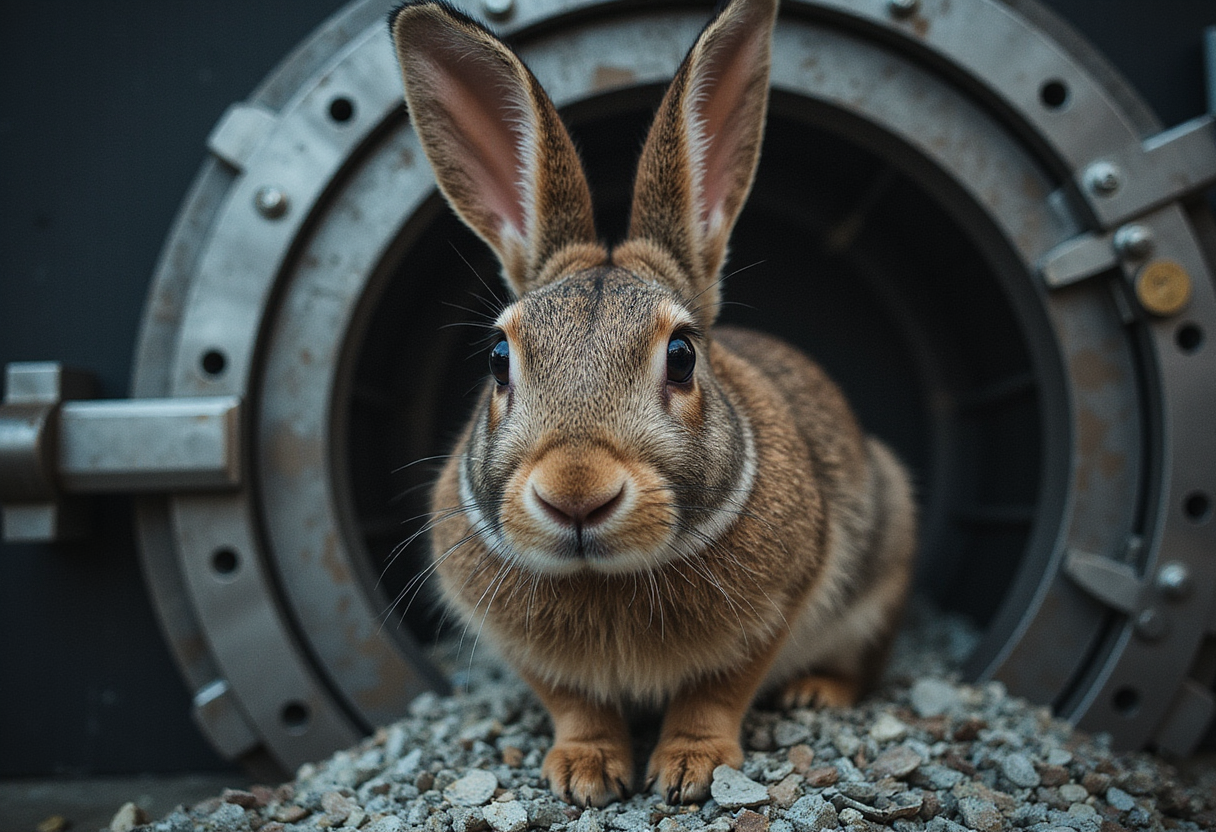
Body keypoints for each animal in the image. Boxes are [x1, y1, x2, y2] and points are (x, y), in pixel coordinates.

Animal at [389, 0, 917, 807]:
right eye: (499, 359)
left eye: (682, 356)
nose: (576, 496)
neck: (602, 576)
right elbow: (574, 704)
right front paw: (584, 774)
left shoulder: (778, 607)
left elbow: (717, 692)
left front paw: (690, 770)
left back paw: (816, 693)